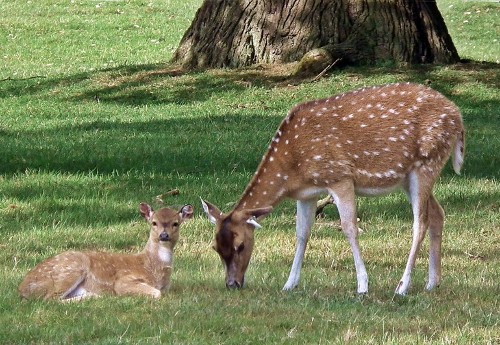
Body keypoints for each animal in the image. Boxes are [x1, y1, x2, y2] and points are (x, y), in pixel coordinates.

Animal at [18, 203, 193, 300]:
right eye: (154, 222)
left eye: (176, 223)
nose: (164, 235)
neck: (151, 267)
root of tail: (22, 288)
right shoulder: (124, 280)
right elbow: (157, 293)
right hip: (69, 269)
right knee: (49, 299)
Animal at [202, 82, 464, 294]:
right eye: (215, 246)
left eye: (240, 245)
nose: (232, 284)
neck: (292, 166)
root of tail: (458, 117)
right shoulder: (306, 194)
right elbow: (302, 233)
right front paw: (289, 283)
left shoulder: (340, 177)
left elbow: (349, 228)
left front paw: (362, 285)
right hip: (408, 178)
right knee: (438, 214)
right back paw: (432, 283)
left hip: (427, 163)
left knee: (420, 222)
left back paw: (402, 286)